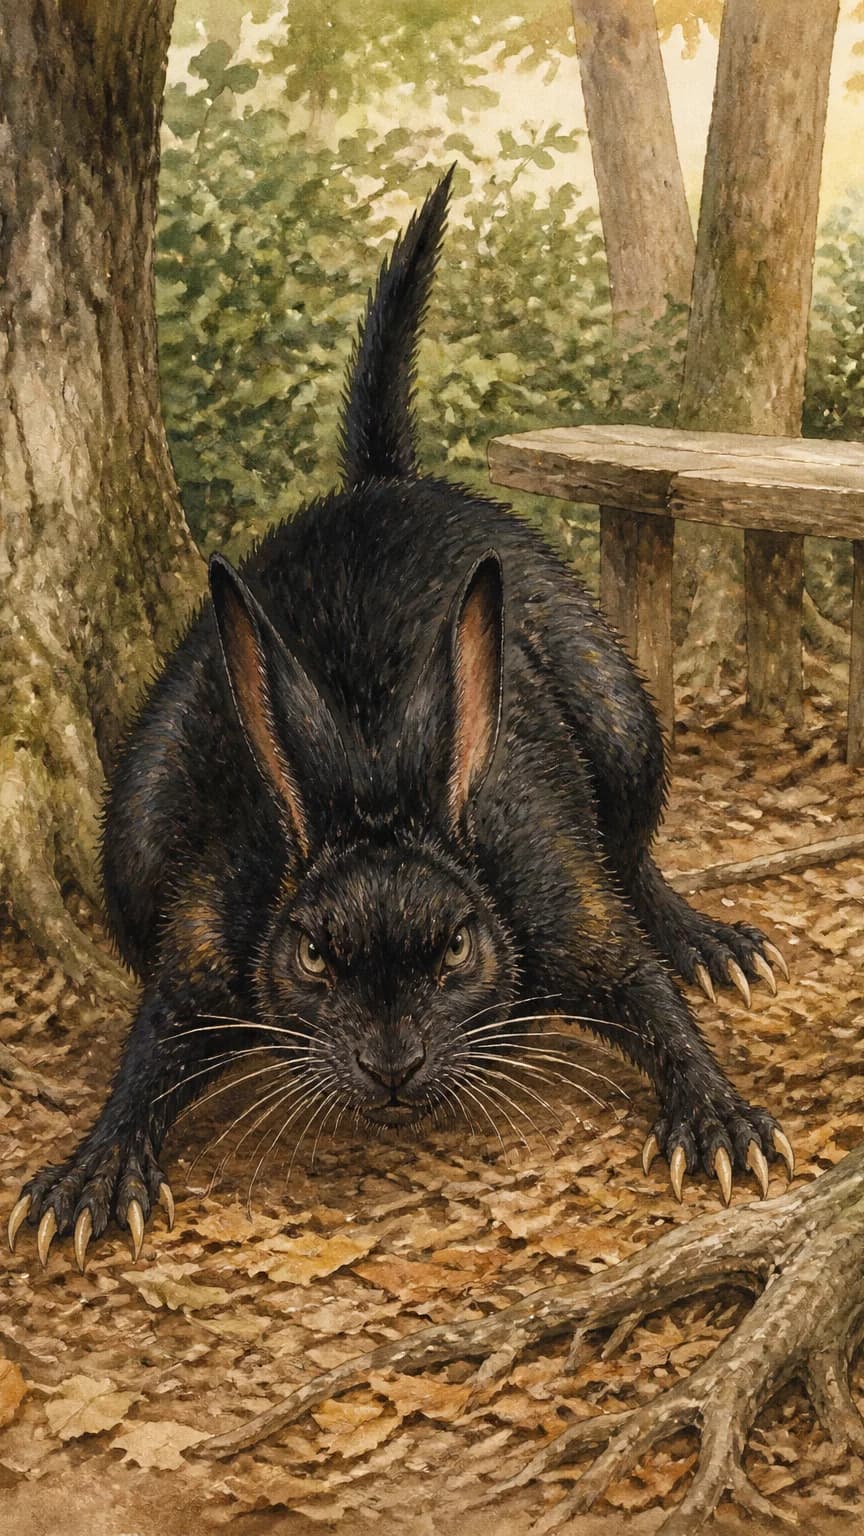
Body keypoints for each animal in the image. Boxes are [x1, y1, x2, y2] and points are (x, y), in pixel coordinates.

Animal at [8, 167, 793, 1271]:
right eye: (312, 957)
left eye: (457, 949)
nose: (392, 1067)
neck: (378, 774)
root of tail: (381, 477)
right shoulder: (204, 932)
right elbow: (149, 1050)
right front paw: (90, 1177)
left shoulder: (556, 891)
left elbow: (648, 995)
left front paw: (722, 1125)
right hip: (135, 826)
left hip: (620, 713)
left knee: (636, 852)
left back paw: (710, 943)